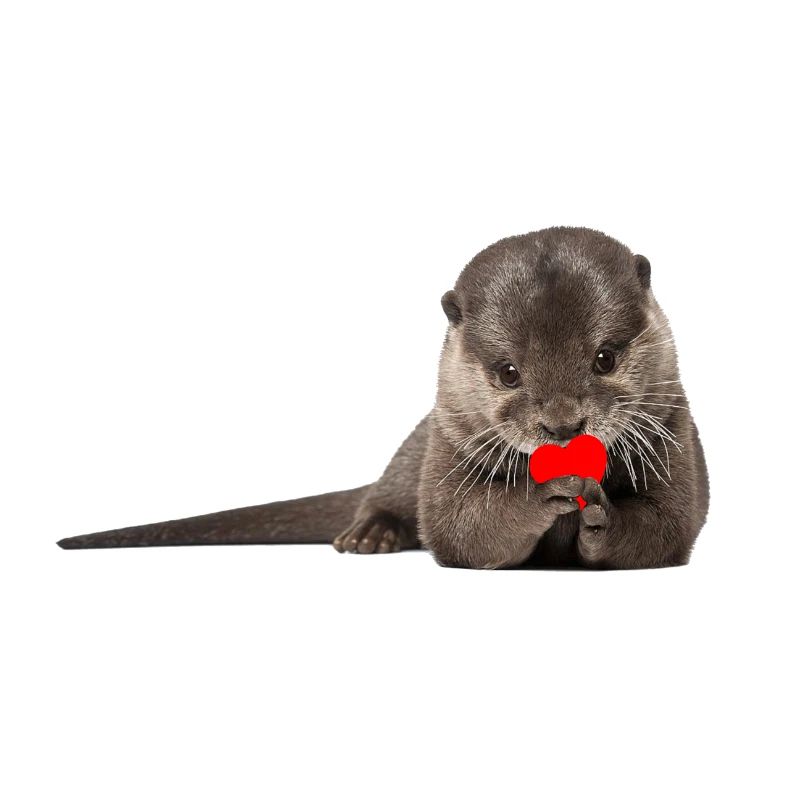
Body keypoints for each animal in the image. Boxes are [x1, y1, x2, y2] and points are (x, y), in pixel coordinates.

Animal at [58, 227, 709, 569]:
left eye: (605, 358)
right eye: (508, 372)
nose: (563, 425)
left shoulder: (675, 431)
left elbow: (668, 526)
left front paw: (602, 513)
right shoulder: (447, 444)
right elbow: (458, 528)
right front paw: (545, 489)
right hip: (415, 448)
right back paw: (368, 535)